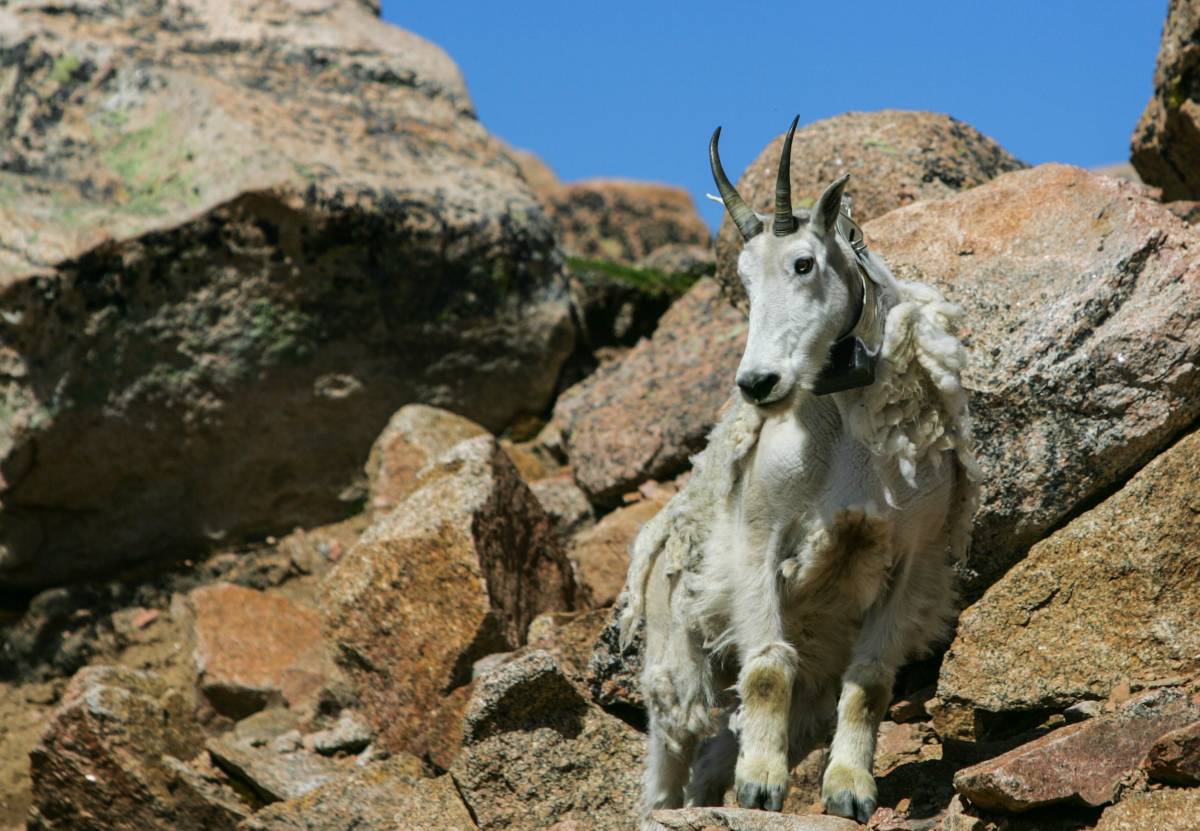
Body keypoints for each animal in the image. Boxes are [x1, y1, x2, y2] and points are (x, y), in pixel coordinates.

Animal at [624, 118, 979, 826]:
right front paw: (763, 786)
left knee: (713, 758)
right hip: (677, 650)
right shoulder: (761, 543)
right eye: (743, 280)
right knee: (672, 745)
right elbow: (766, 670)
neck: (843, 431)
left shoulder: (912, 555)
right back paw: (669, 807)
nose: (758, 383)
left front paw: (849, 789)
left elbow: (870, 684)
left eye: (803, 263)